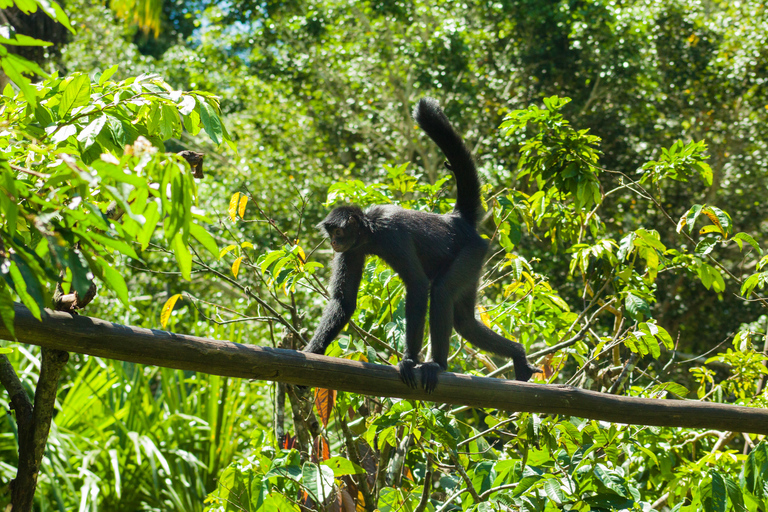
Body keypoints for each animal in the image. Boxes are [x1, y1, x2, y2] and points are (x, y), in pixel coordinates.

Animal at [300, 97, 540, 392]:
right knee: (465, 322)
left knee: (441, 291)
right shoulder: (352, 250)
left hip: (472, 252)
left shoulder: (392, 236)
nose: (333, 241)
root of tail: (455, 220)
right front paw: (311, 352)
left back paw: (437, 364)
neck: (371, 230)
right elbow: (344, 301)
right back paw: (518, 354)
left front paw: (409, 360)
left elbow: (417, 284)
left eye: (338, 231)